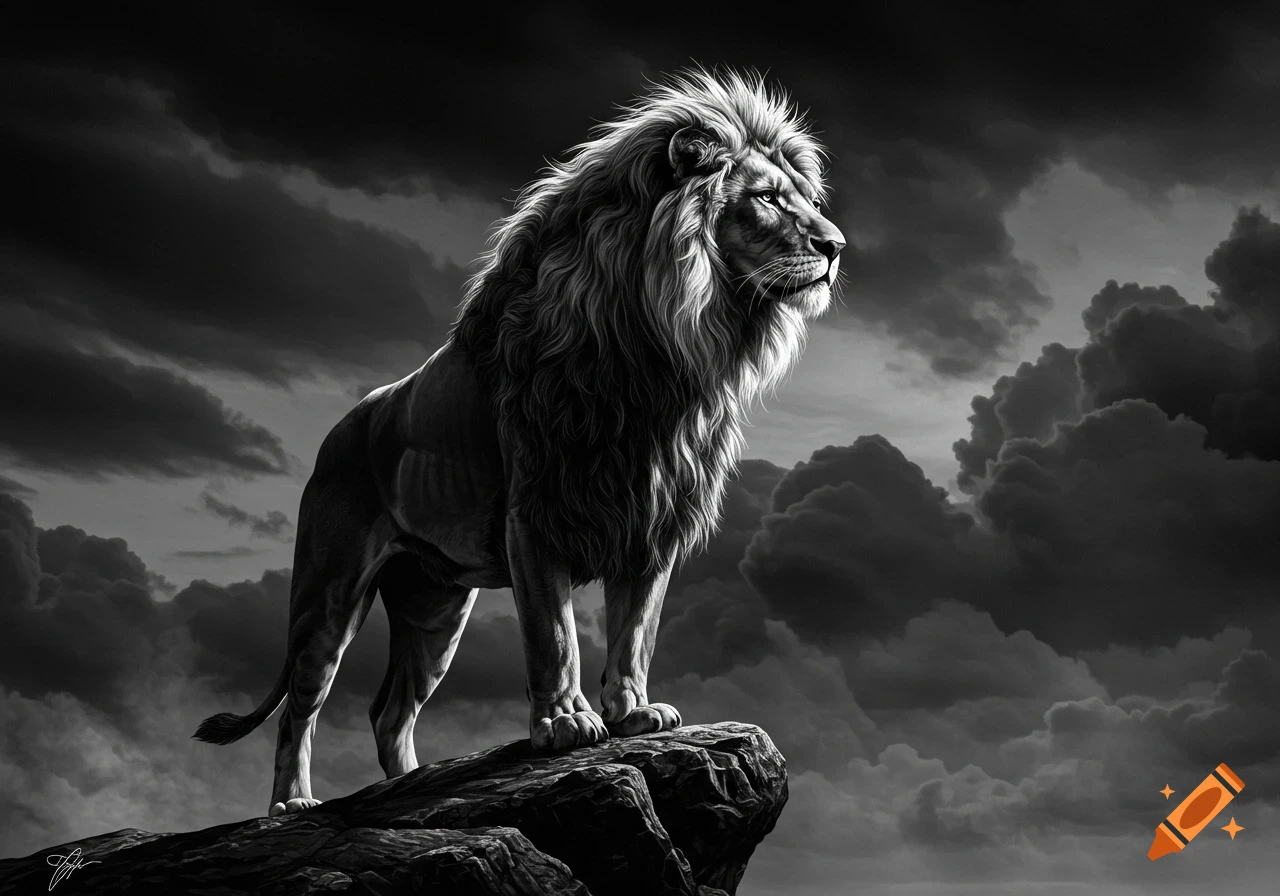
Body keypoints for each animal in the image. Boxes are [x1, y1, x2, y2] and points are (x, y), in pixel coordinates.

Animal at [193, 67, 845, 817]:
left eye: (807, 201)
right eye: (765, 199)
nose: (836, 247)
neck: (660, 348)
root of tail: (345, 424)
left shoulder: (650, 520)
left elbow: (635, 633)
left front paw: (634, 714)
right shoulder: (536, 514)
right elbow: (553, 636)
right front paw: (564, 725)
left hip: (434, 607)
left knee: (390, 711)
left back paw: (412, 784)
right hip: (329, 592)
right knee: (302, 705)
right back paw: (293, 804)